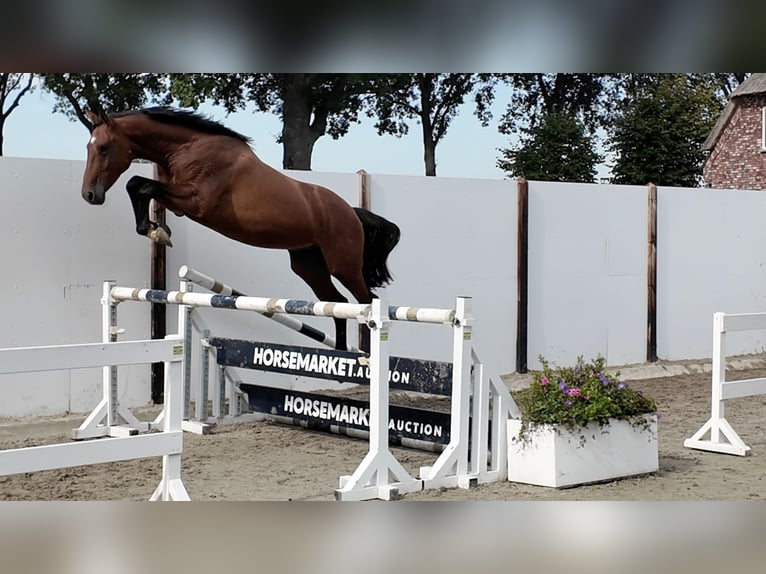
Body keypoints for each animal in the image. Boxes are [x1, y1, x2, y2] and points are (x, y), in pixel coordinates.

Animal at [80, 106, 401, 352]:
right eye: (88, 146)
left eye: (104, 147)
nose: (90, 195)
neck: (187, 148)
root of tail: (351, 212)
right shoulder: (179, 200)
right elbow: (138, 185)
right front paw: (156, 230)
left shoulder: (196, 202)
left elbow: (140, 184)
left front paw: (156, 230)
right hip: (309, 266)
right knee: (338, 303)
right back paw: (342, 357)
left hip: (343, 265)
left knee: (365, 301)